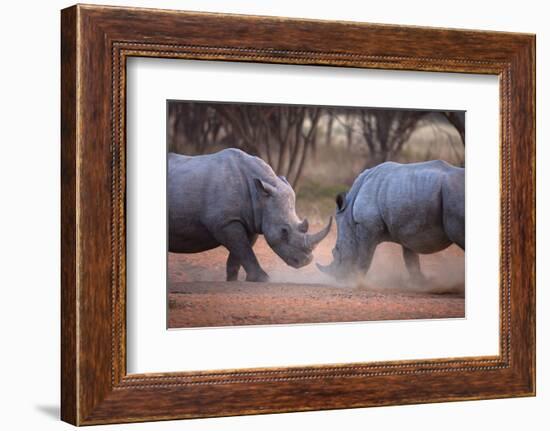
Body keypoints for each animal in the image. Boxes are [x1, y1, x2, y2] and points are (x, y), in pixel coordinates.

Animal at [168, 148, 332, 284]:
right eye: (284, 231)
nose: (306, 261)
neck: (260, 196)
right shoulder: (225, 222)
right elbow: (244, 249)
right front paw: (264, 279)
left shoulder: (251, 220)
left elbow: (240, 251)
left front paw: (233, 280)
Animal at [320, 160, 466, 282]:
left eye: (336, 251)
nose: (339, 278)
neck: (349, 214)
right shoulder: (409, 229)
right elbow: (410, 260)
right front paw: (420, 283)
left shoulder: (368, 226)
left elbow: (365, 256)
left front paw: (356, 281)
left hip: (454, 194)